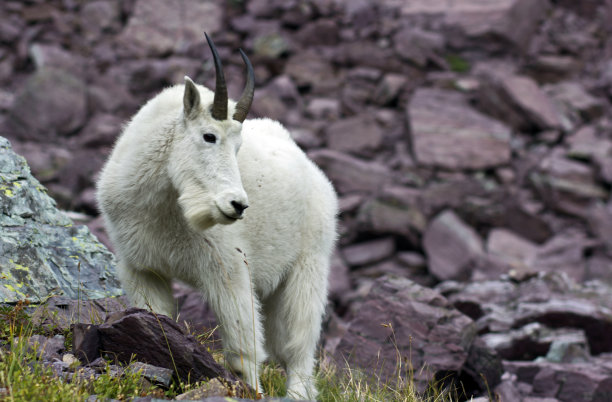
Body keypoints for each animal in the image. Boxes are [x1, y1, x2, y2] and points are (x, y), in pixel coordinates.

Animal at [95, 35, 338, 398]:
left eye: (238, 147)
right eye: (209, 136)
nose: (237, 204)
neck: (166, 204)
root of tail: (314, 172)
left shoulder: (228, 268)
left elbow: (242, 348)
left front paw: (249, 391)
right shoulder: (142, 268)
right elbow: (157, 322)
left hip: (309, 264)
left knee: (299, 344)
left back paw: (296, 392)